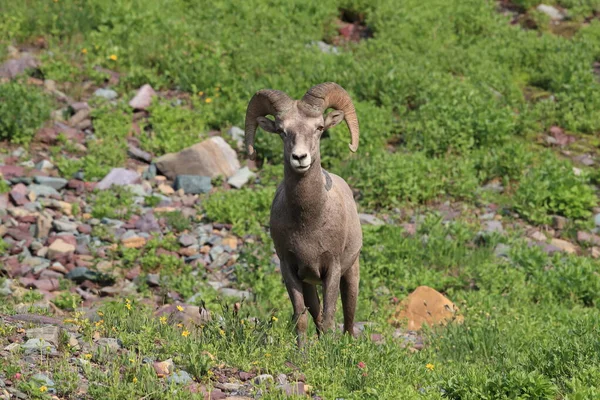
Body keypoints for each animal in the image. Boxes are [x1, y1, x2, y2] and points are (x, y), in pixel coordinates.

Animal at [243, 82, 360, 346]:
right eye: (281, 131)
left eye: (319, 128)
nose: (299, 157)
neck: (308, 222)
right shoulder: (290, 268)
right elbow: (302, 318)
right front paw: (303, 352)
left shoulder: (333, 268)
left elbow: (329, 318)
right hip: (309, 282)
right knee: (315, 313)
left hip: (351, 272)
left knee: (349, 315)